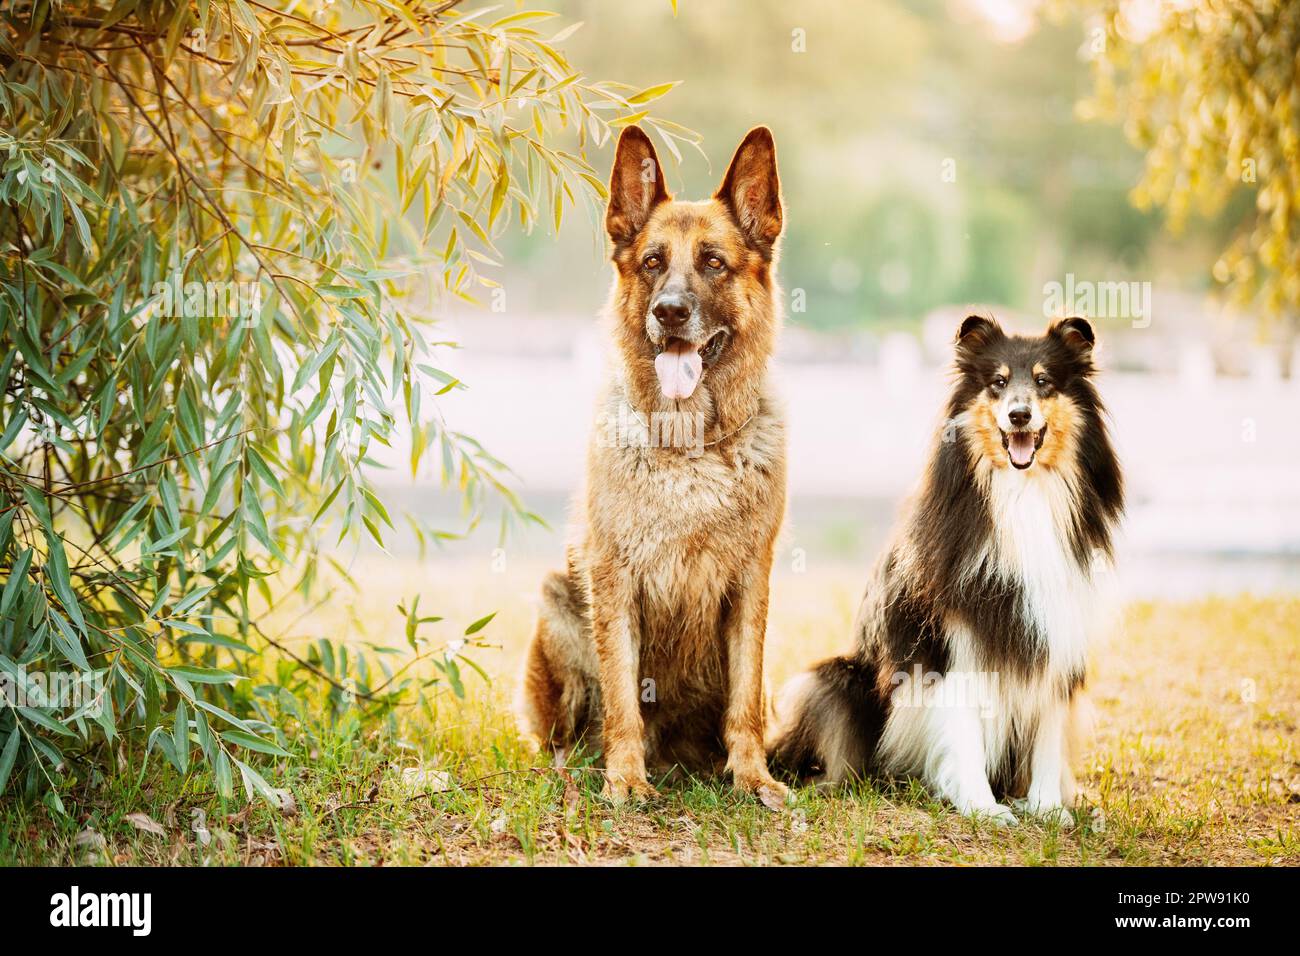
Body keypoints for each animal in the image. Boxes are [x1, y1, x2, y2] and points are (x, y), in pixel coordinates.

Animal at [520, 123, 785, 806]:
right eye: (652, 262)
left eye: (714, 262)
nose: (669, 312)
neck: (690, 447)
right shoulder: (613, 581)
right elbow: (621, 695)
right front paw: (625, 778)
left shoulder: (751, 584)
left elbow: (744, 699)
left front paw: (752, 776)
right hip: (556, 602)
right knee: (563, 738)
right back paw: (578, 771)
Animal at [764, 317, 1123, 827]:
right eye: (996, 383)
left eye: (1043, 381)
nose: (1018, 416)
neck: (1020, 494)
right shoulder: (950, 642)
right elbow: (963, 727)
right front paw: (982, 806)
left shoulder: (1058, 633)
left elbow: (1049, 732)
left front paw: (1048, 808)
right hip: (834, 679)